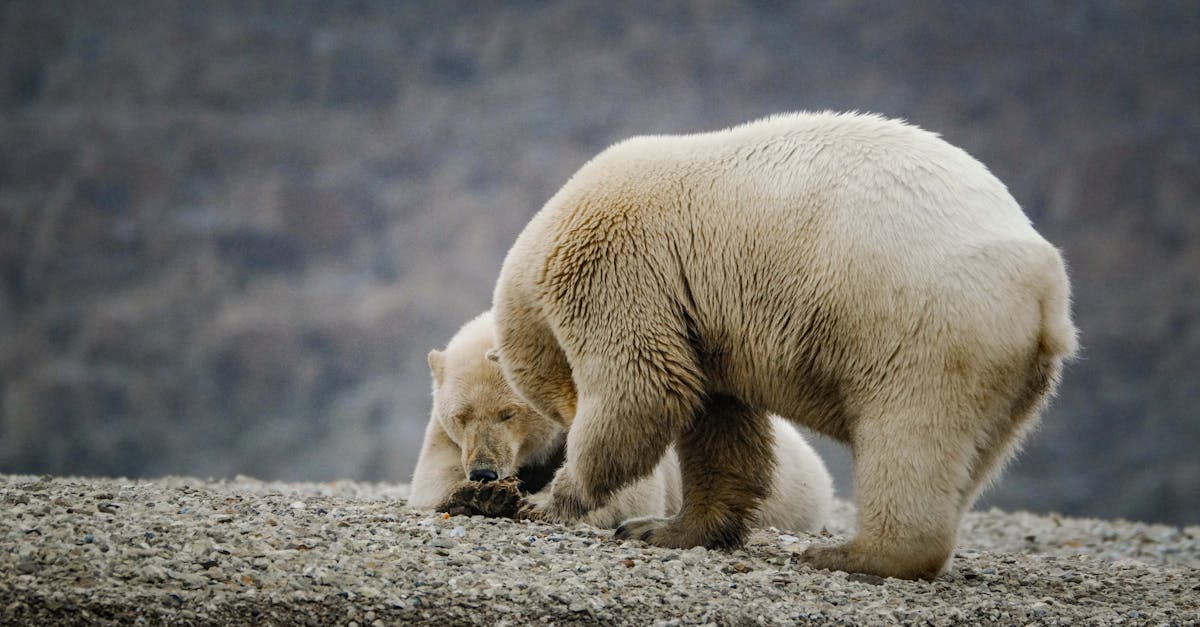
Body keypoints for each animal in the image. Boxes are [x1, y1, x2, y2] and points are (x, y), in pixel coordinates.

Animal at [410, 307, 835, 530]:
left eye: (508, 413)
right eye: (461, 416)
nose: (483, 471)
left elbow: (629, 490)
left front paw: (534, 503)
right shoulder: (444, 436)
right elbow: (432, 479)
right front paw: (486, 494)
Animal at [489, 111, 1080, 576]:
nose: (565, 434)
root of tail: (1044, 284)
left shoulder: (623, 267)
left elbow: (644, 388)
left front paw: (550, 501)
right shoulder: (701, 321)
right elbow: (717, 421)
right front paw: (665, 528)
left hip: (925, 326)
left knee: (909, 435)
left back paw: (849, 554)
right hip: (1016, 372)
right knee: (976, 452)